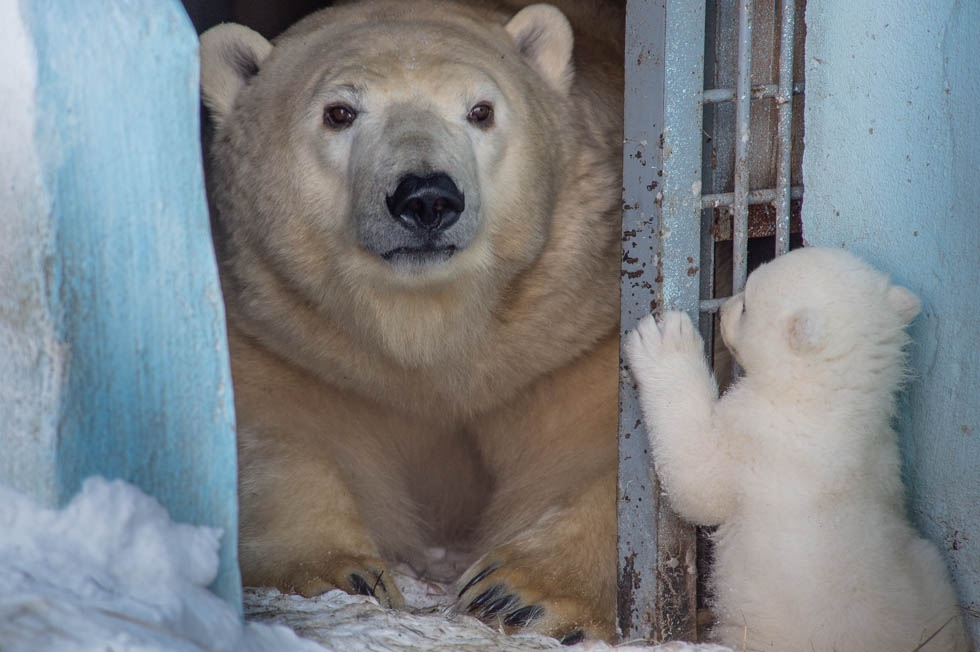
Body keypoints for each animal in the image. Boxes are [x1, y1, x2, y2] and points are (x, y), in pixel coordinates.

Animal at [201, 0, 620, 640]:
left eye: (481, 110)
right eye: (340, 112)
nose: (425, 198)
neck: (429, 330)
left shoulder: (568, 332)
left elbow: (606, 445)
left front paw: (517, 595)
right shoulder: (291, 337)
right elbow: (278, 437)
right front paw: (337, 574)